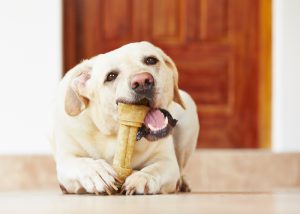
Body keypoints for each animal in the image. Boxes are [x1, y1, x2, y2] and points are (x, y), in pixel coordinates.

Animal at [51, 41, 199, 195]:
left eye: (151, 60)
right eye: (111, 76)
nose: (142, 81)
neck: (115, 133)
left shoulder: (167, 161)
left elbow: (155, 168)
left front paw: (142, 177)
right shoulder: (66, 161)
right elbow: (81, 162)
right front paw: (97, 172)